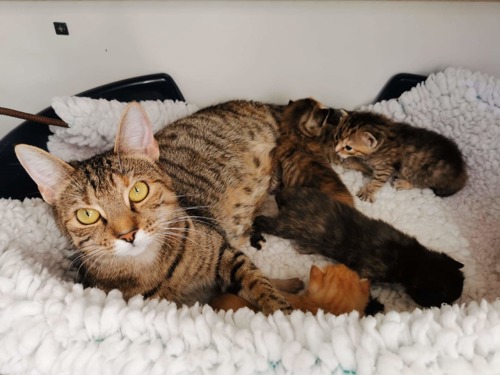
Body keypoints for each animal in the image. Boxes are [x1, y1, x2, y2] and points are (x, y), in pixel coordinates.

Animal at [14, 101, 308, 316]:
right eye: (87, 215)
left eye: (138, 190)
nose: (128, 234)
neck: (151, 267)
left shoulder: (226, 253)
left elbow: (259, 283)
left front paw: (286, 317)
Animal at [254, 188, 464, 308]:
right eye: (443, 300)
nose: (450, 306)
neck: (412, 257)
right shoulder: (367, 271)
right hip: (286, 226)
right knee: (262, 220)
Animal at [334, 111, 466, 203]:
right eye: (336, 137)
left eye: (348, 147)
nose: (336, 150)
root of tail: (461, 172)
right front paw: (351, 161)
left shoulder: (385, 168)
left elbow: (377, 180)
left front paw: (367, 191)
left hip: (418, 172)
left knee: (422, 184)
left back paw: (403, 183)